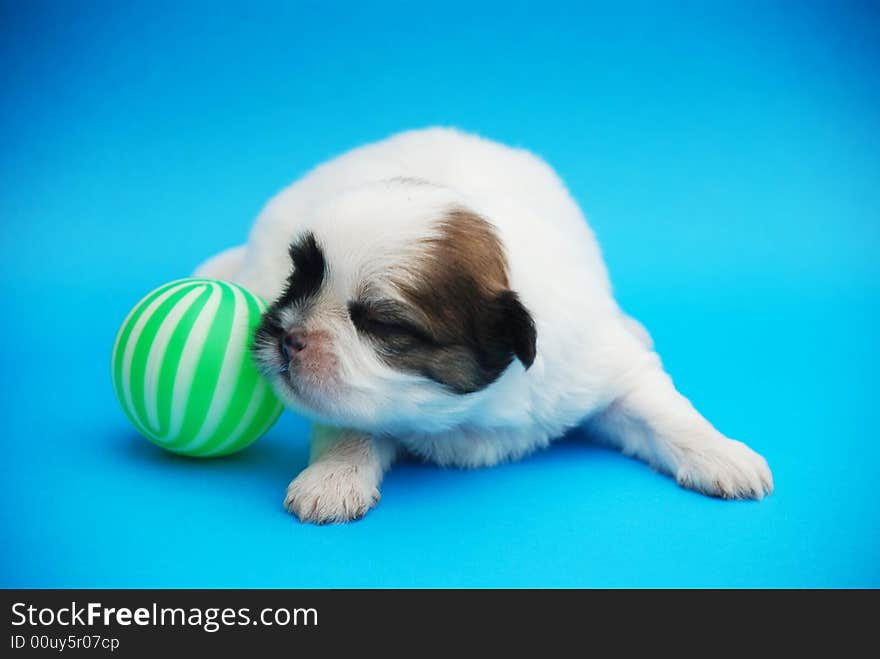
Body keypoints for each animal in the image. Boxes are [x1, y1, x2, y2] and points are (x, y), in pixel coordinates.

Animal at [198, 126, 768, 524]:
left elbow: (662, 410)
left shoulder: (597, 367)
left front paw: (723, 453)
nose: (288, 336)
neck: (466, 411)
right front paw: (332, 478)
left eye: (383, 325)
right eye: (299, 279)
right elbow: (350, 426)